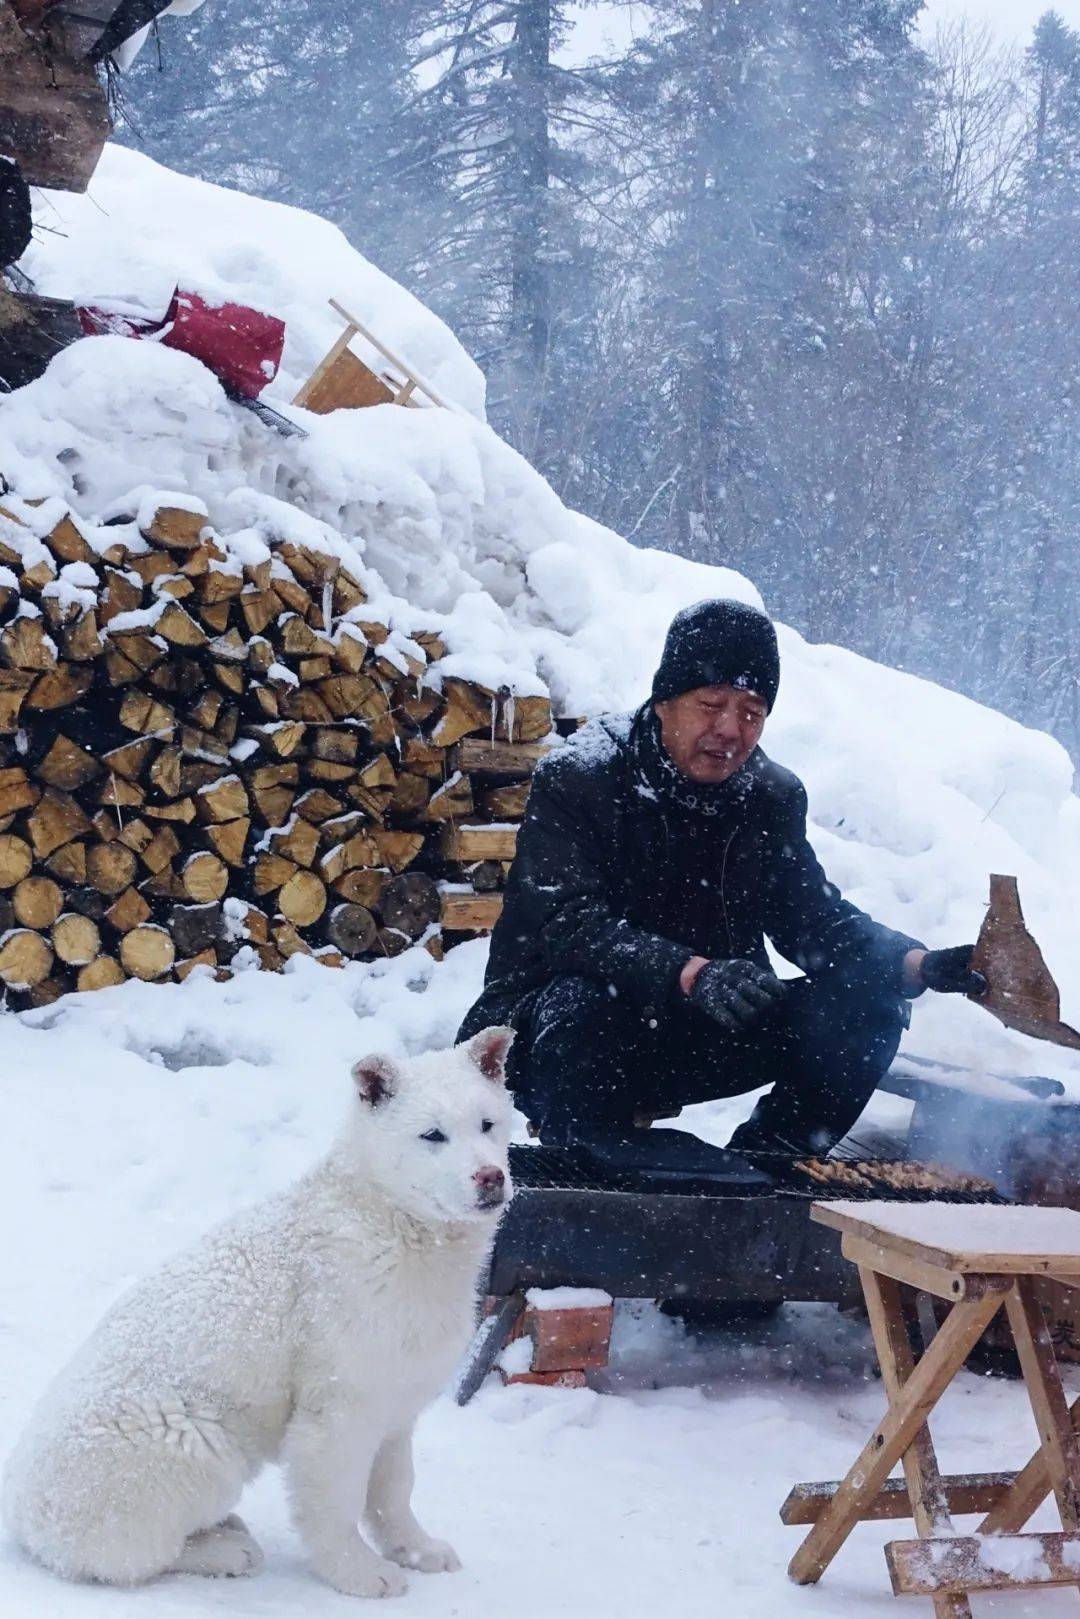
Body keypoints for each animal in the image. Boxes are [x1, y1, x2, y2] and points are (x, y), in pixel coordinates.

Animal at [1, 1023, 514, 1593]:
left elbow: (394, 1492)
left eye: (487, 1124)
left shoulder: (397, 1404)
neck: (393, 1225)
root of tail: (24, 1519)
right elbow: (337, 1504)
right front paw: (357, 1575)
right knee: (134, 1559)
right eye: (432, 1136)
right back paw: (227, 1551)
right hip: (200, 1442)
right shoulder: (338, 1409)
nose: (491, 1178)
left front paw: (416, 1552)